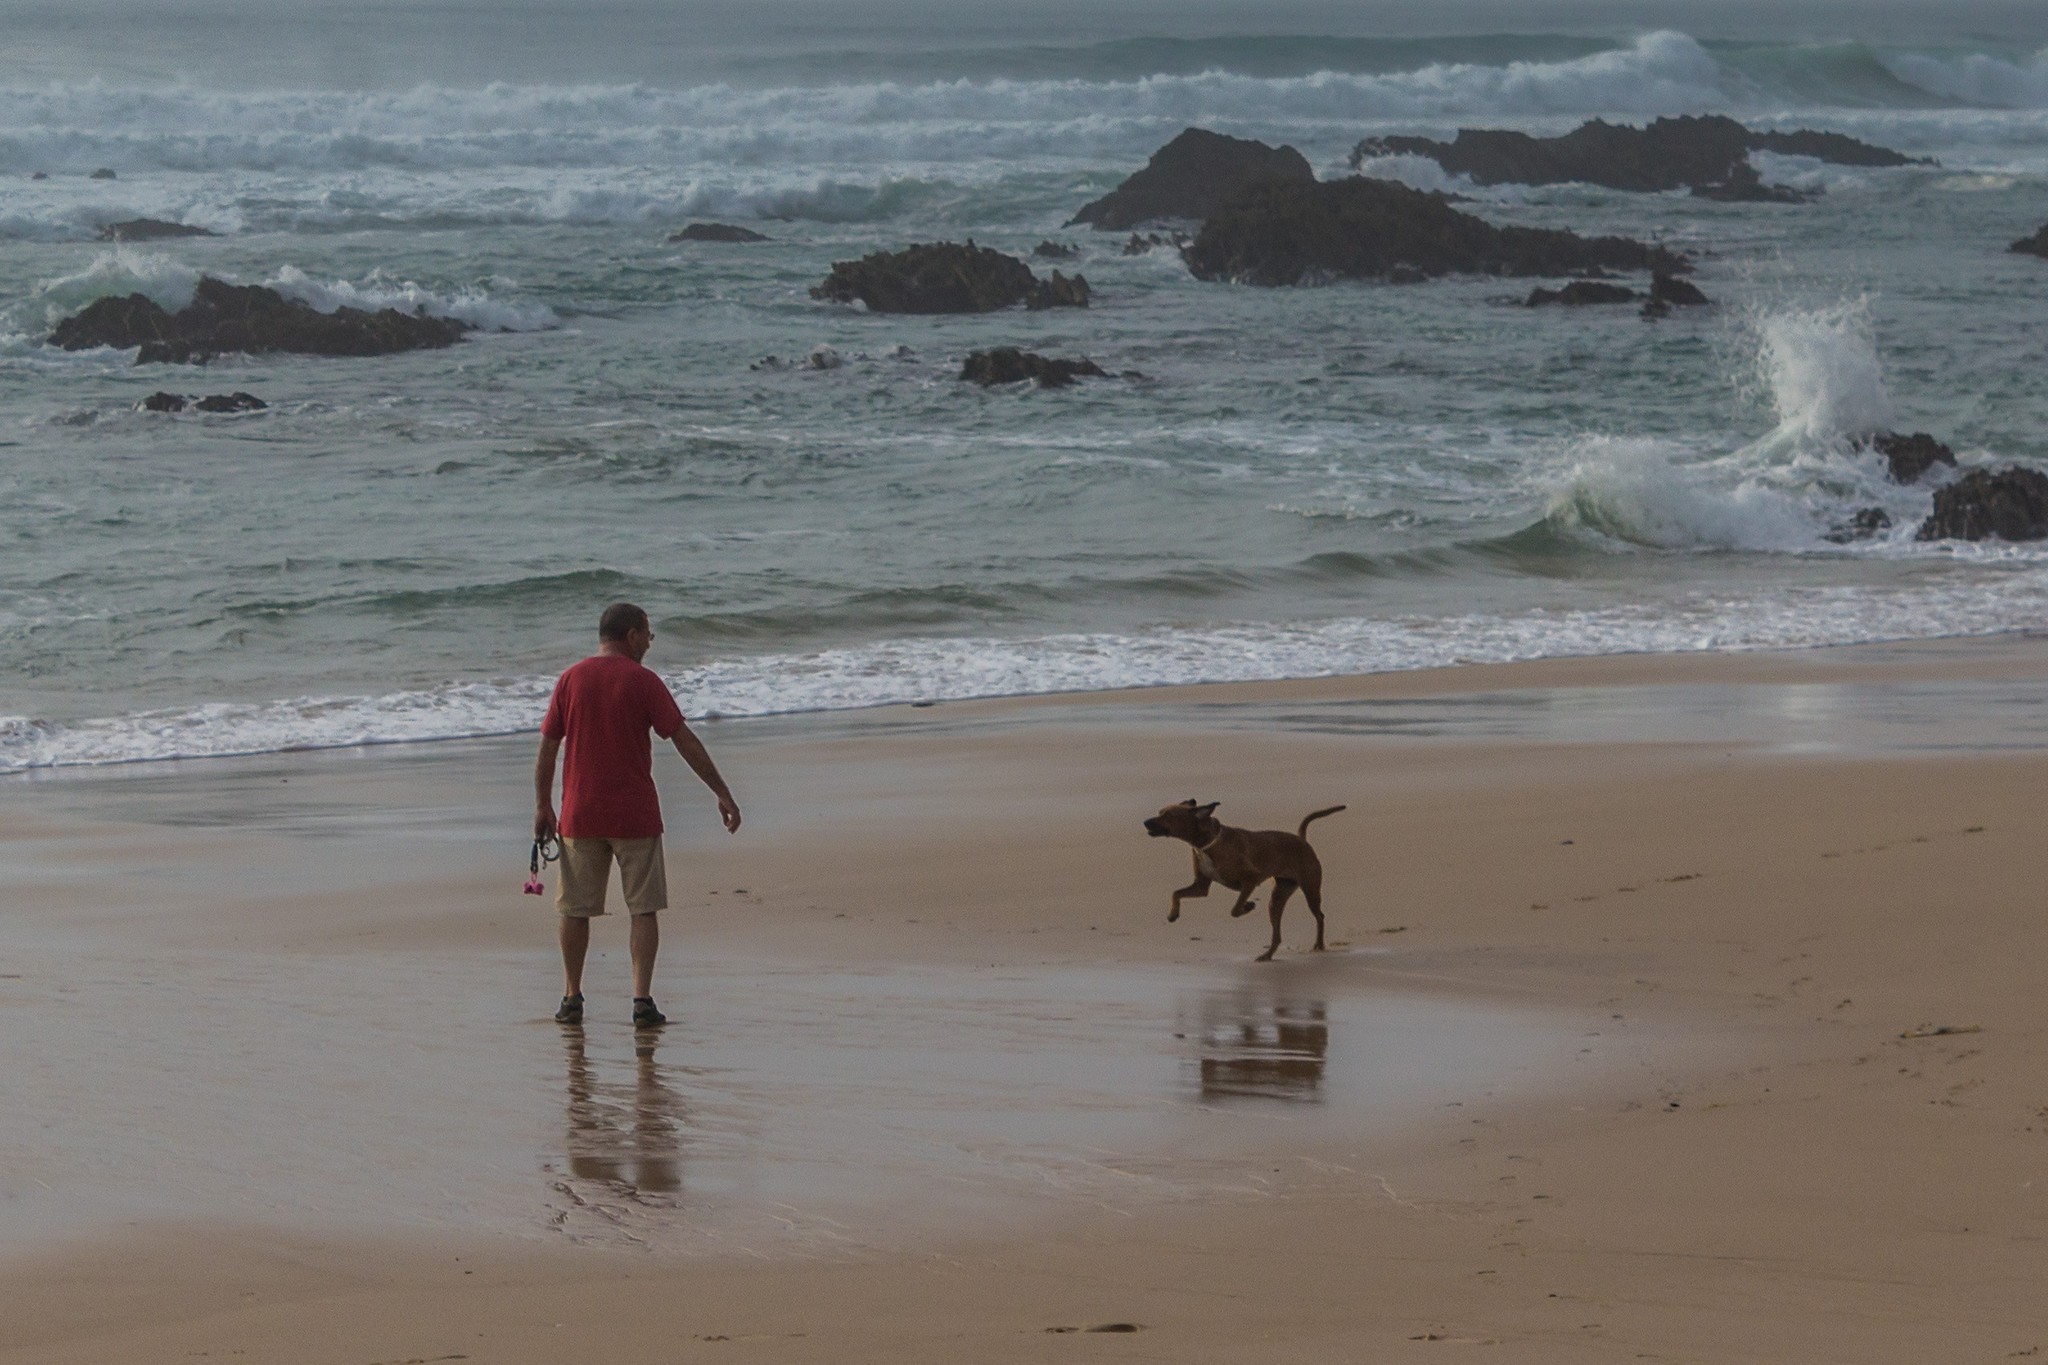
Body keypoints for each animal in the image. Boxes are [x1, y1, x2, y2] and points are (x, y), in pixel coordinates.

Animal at [1146, 802, 1351, 961]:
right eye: (1160, 812)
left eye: (1168, 815)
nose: (1145, 821)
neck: (1208, 843)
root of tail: (1301, 839)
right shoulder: (1201, 887)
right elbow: (1176, 893)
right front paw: (1173, 914)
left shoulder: (1251, 879)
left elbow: (1235, 909)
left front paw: (1248, 905)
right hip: (1278, 897)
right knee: (1277, 933)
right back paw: (1267, 955)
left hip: (1310, 889)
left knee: (1320, 916)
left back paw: (1318, 944)